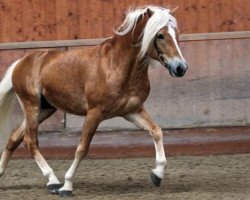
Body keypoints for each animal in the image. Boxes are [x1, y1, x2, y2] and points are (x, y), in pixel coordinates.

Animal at [0, 4, 188, 197]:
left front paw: (157, 175)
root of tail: (21, 62)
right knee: (31, 141)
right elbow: (82, 148)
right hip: (32, 106)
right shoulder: (94, 113)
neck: (116, 66)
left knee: (14, 138)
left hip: (45, 109)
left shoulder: (132, 110)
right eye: (160, 35)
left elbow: (156, 131)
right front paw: (67, 186)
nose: (181, 67)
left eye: (176, 33)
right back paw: (53, 182)